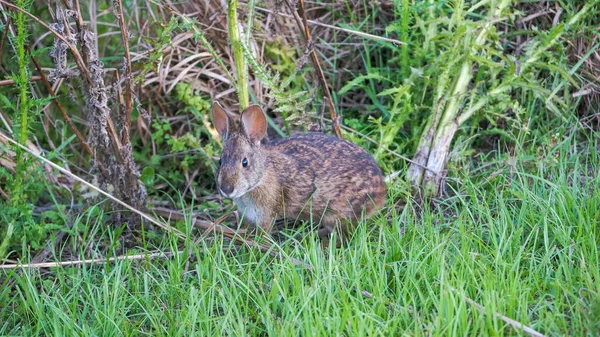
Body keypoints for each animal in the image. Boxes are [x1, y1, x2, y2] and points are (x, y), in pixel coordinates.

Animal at [213, 101, 386, 243]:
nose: (227, 189)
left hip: (337, 214)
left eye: (245, 162)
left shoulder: (265, 215)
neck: (261, 176)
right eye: (220, 161)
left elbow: (264, 234)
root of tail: (381, 191)